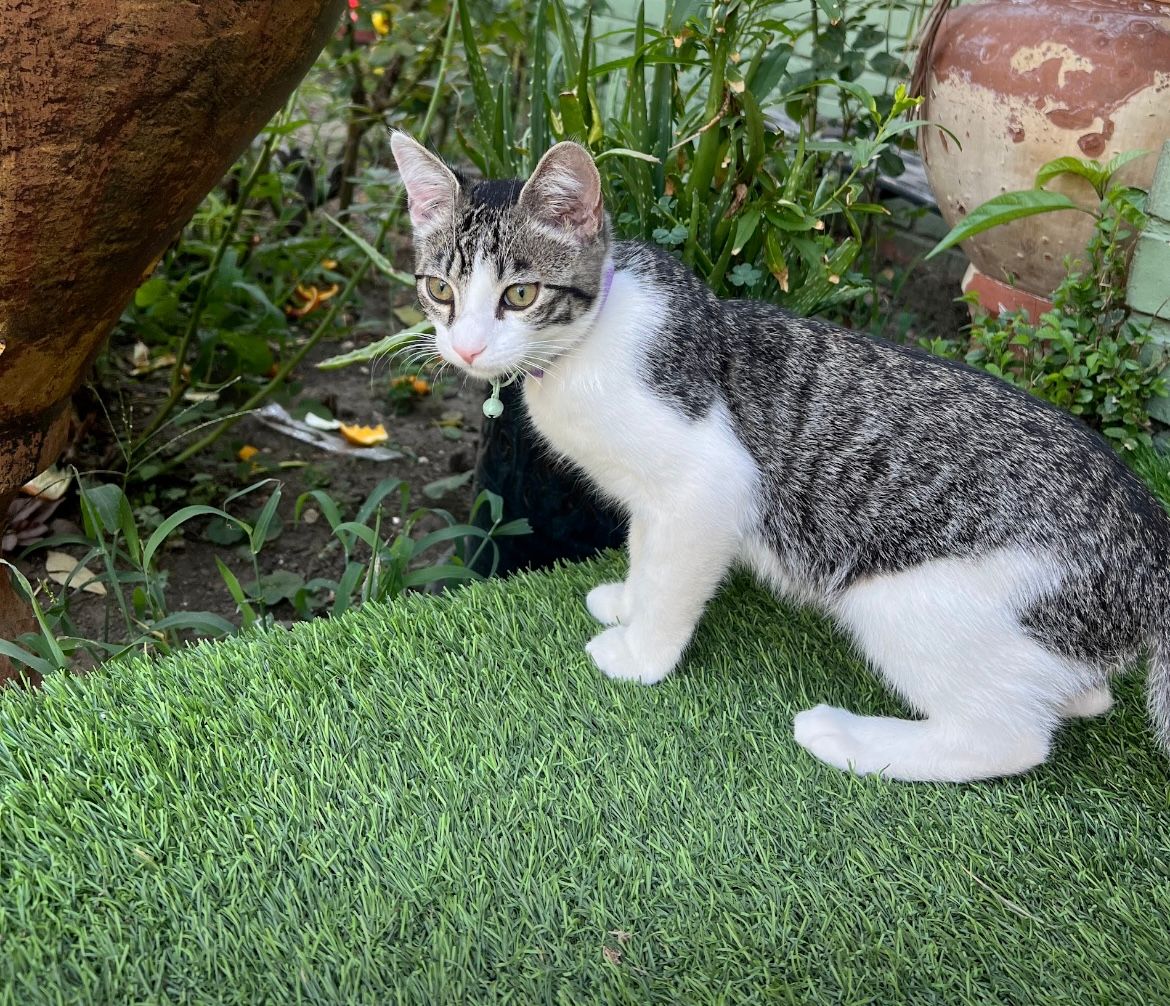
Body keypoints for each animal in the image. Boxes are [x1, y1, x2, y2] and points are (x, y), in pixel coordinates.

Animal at [389, 132, 1170, 783]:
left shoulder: (709, 485)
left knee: (1008, 739)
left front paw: (642, 654)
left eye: (520, 294)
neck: (588, 342)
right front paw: (627, 602)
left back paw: (852, 739)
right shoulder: (651, 499)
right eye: (440, 289)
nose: (466, 349)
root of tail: (1145, 543)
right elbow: (647, 551)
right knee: (1070, 693)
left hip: (914, 599)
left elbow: (675, 576)